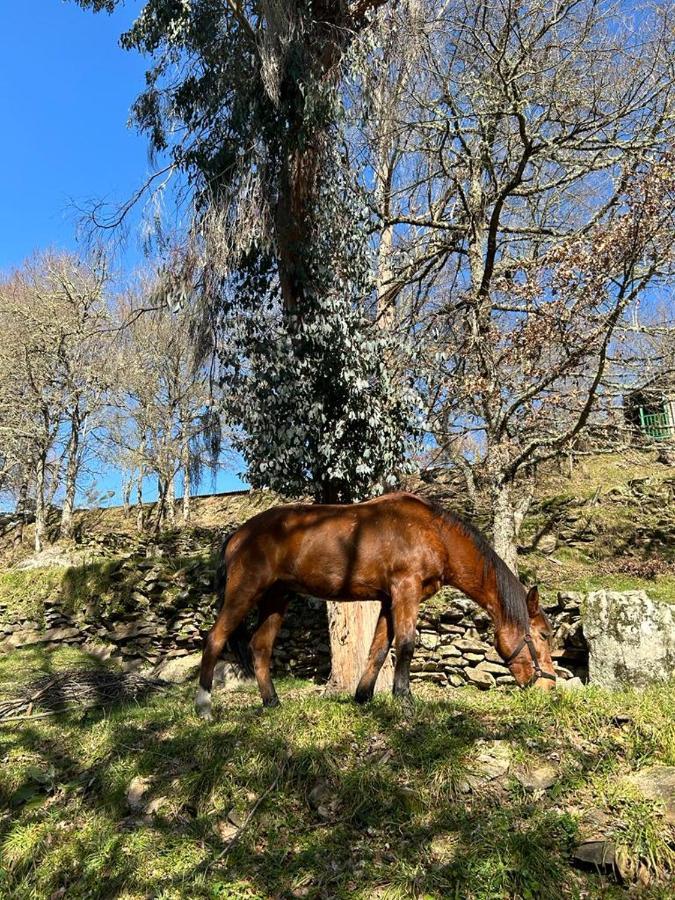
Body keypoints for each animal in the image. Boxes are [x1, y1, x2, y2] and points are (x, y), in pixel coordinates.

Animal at [194, 488, 556, 720]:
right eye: (542, 635)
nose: (549, 687)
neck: (434, 533)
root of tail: (238, 534)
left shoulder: (387, 600)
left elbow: (378, 648)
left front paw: (363, 697)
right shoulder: (405, 591)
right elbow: (406, 644)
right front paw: (405, 700)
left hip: (275, 598)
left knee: (260, 647)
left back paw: (272, 703)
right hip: (245, 592)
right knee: (215, 638)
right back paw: (204, 707)